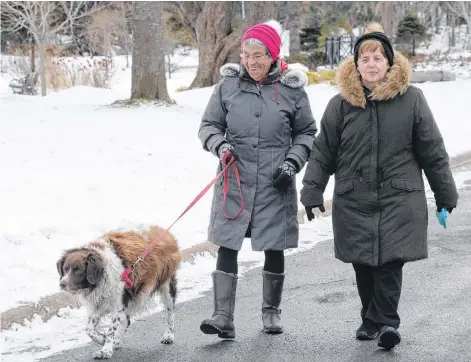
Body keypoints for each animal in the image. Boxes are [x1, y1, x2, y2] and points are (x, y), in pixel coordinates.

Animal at [55, 226, 181, 360]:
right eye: (64, 269)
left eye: (78, 270)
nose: (62, 284)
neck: (102, 277)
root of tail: (163, 232)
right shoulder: (98, 304)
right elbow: (89, 330)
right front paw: (103, 339)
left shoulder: (118, 304)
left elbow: (111, 329)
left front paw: (105, 350)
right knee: (127, 321)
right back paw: (116, 341)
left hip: (167, 287)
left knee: (170, 313)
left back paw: (168, 335)